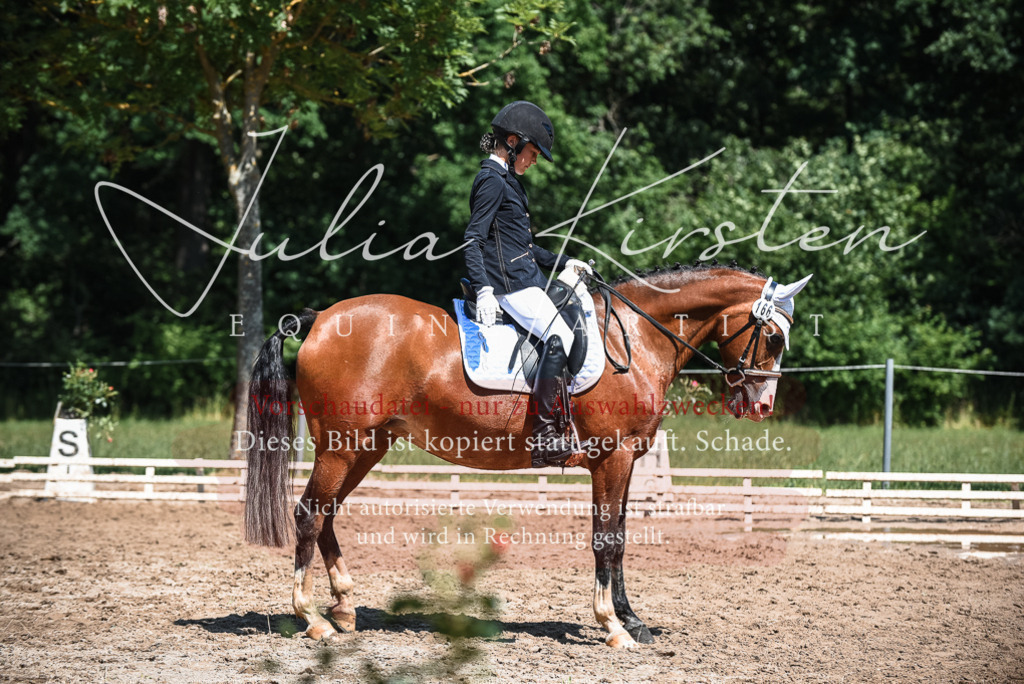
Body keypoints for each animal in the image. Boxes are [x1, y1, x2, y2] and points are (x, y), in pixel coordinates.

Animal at [242, 264, 812, 648]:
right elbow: (606, 540)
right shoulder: (613, 459)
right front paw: (613, 627)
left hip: (366, 446)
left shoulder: (625, 462)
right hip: (342, 446)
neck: (634, 339)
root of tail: (320, 319)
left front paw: (633, 620)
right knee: (308, 514)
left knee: (327, 514)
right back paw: (313, 619)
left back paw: (343, 606)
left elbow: (622, 538)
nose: (761, 406)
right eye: (774, 337)